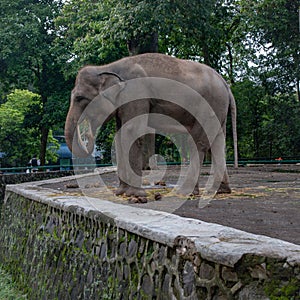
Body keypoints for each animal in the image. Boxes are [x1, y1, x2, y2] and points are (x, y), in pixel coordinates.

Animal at [64, 52, 238, 198]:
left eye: (80, 98)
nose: (87, 135)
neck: (107, 68)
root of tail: (226, 84)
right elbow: (120, 136)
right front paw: (120, 193)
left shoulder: (136, 94)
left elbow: (131, 132)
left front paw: (135, 194)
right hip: (218, 108)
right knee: (218, 142)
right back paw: (218, 191)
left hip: (208, 105)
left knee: (198, 141)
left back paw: (185, 192)